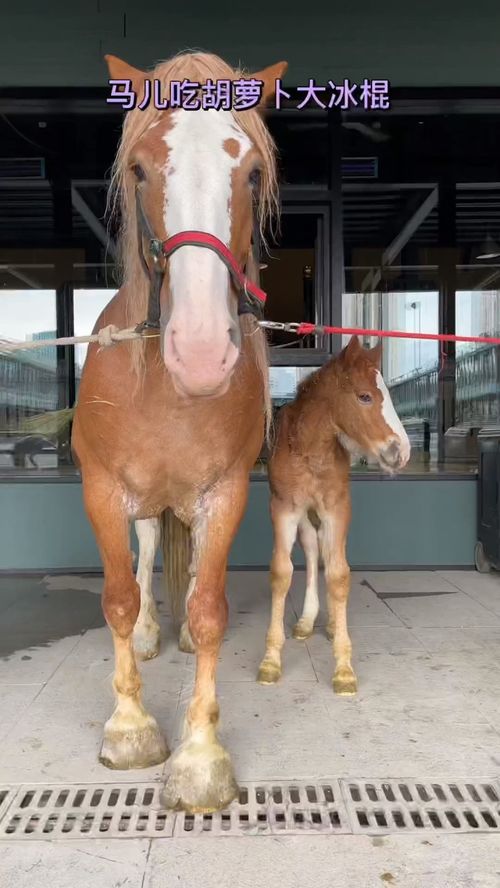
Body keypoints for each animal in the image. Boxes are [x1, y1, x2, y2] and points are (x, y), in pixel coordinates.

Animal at [72, 48, 288, 812]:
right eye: (140, 169)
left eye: (250, 173)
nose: (199, 352)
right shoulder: (102, 491)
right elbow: (116, 595)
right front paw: (131, 727)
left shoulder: (224, 493)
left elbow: (211, 607)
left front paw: (200, 759)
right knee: (140, 560)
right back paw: (144, 635)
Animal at [258, 338, 410, 692]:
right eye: (365, 396)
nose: (403, 452)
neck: (311, 447)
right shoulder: (284, 508)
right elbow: (282, 572)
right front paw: (271, 661)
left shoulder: (337, 507)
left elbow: (340, 574)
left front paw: (343, 667)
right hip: (305, 516)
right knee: (314, 550)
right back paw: (306, 621)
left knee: (328, 554)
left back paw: (328, 623)